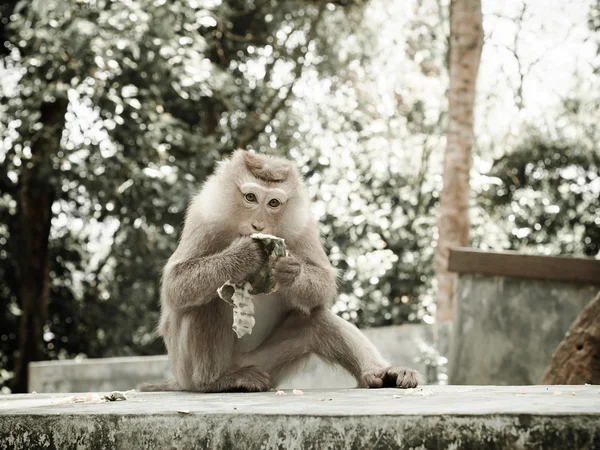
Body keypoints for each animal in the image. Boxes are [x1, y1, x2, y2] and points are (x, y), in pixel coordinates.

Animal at [141, 149, 420, 392]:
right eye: (250, 198)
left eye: (274, 203)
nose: (258, 224)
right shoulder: (205, 216)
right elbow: (176, 284)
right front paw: (242, 255)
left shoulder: (302, 224)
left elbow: (323, 284)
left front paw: (290, 271)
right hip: (186, 370)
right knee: (207, 301)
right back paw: (216, 381)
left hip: (268, 366)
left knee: (316, 320)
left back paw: (379, 373)